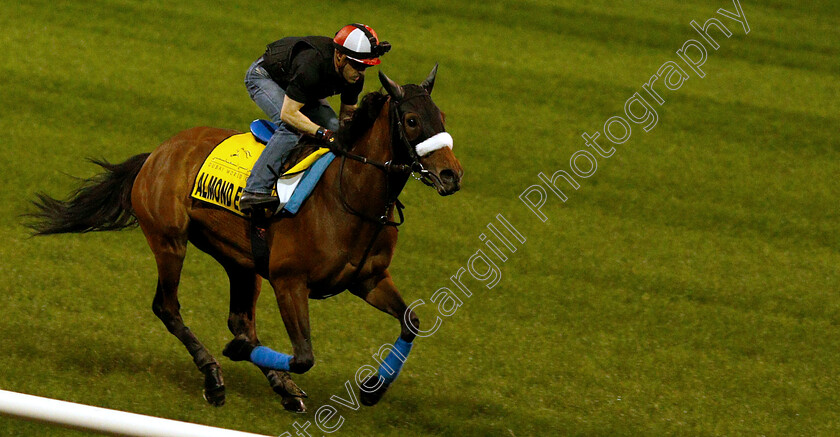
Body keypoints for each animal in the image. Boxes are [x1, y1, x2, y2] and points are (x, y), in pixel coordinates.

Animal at [24, 66, 466, 410]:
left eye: (441, 115)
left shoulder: (369, 280)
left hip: (240, 260)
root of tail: (157, 154)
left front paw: (373, 389)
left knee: (240, 319)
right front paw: (242, 357)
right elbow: (303, 355)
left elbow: (411, 321)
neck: (348, 197)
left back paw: (281, 387)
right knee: (168, 308)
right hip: (170, 242)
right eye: (412, 120)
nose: (451, 175)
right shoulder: (289, 282)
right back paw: (216, 377)